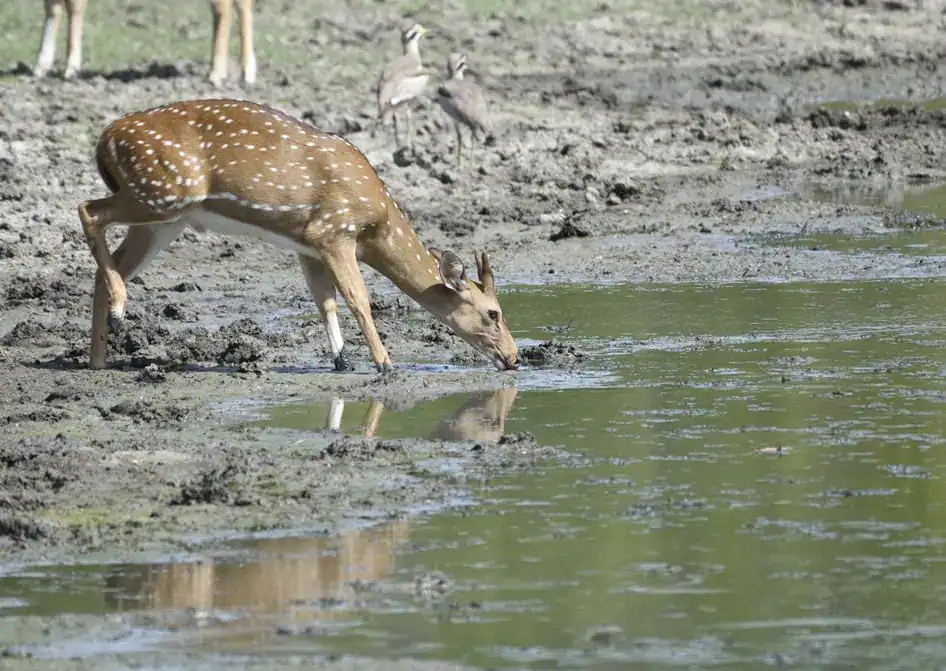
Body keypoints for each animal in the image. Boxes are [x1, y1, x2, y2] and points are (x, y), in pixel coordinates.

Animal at [33, 0, 256, 87]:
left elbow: (74, 6)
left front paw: (71, 67)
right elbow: (52, 7)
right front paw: (41, 65)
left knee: (223, 8)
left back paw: (216, 74)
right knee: (242, 5)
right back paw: (247, 72)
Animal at [78, 99, 520, 372]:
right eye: (492, 313)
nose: (515, 357)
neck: (376, 224)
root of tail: (106, 138)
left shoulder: (307, 246)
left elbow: (325, 301)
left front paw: (341, 360)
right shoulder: (334, 231)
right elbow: (359, 299)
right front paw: (384, 363)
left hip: (165, 218)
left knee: (106, 264)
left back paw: (100, 354)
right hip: (162, 193)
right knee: (88, 209)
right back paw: (118, 311)